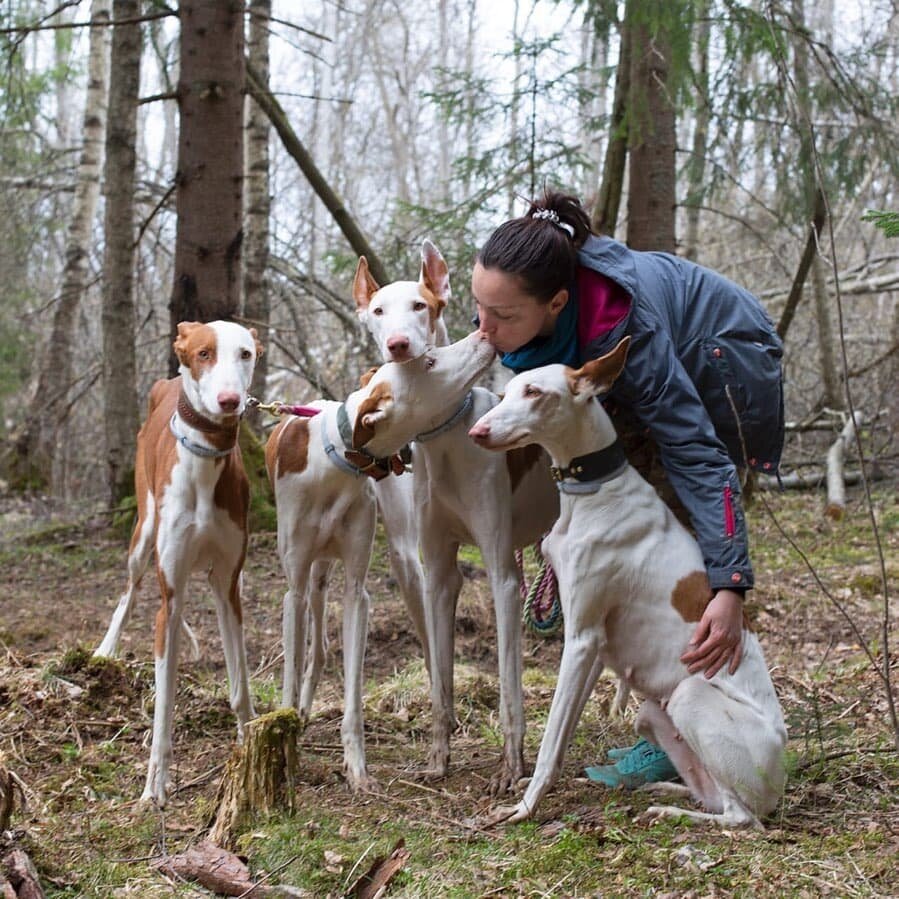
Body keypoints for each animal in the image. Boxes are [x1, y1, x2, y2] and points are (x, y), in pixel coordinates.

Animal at [96, 322, 264, 808]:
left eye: (246, 353)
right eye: (204, 353)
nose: (229, 401)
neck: (206, 462)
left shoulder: (229, 587)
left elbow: (240, 685)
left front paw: (249, 744)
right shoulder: (168, 598)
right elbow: (164, 703)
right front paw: (155, 783)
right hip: (143, 532)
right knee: (129, 591)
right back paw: (105, 649)